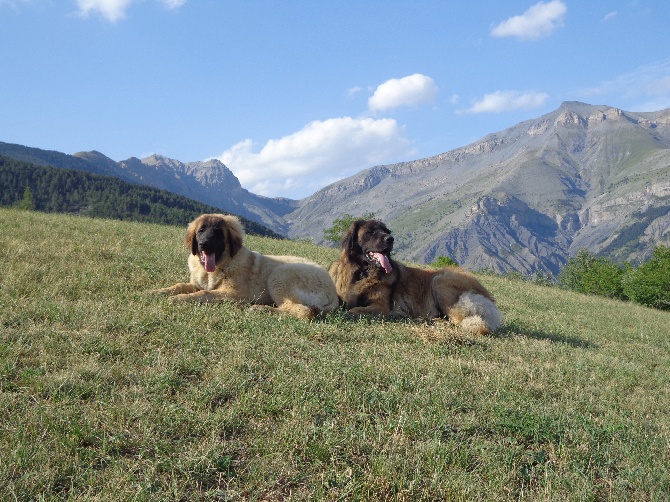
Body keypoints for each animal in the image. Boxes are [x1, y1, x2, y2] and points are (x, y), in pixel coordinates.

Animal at [154, 213, 342, 318]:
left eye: (217, 232)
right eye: (201, 231)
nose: (203, 244)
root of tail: (333, 292)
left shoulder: (235, 293)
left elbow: (205, 293)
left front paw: (179, 299)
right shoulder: (197, 284)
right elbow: (180, 285)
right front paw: (159, 292)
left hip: (280, 274)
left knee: (304, 311)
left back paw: (260, 309)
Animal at [330, 219, 504, 334]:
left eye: (386, 232)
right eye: (370, 232)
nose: (390, 239)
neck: (362, 273)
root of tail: (487, 295)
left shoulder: (380, 306)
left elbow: (355, 310)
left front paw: (345, 314)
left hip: (440, 280)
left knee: (460, 322)